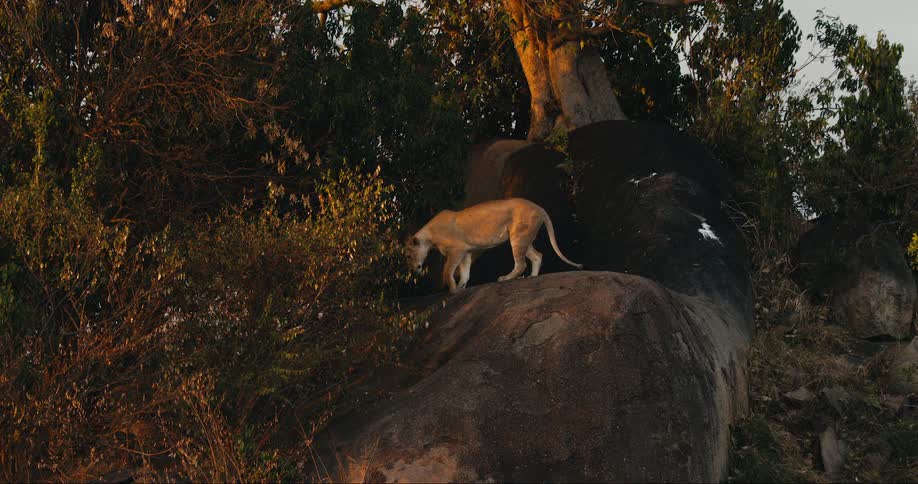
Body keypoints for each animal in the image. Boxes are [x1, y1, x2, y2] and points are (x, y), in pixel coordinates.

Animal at [407, 198, 582, 293]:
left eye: (409, 255)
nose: (413, 269)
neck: (429, 236)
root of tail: (539, 207)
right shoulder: (466, 251)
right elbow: (465, 271)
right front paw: (462, 286)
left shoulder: (457, 250)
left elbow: (447, 270)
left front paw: (452, 290)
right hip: (524, 238)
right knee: (537, 256)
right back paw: (533, 277)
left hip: (518, 237)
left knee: (521, 264)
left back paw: (505, 278)